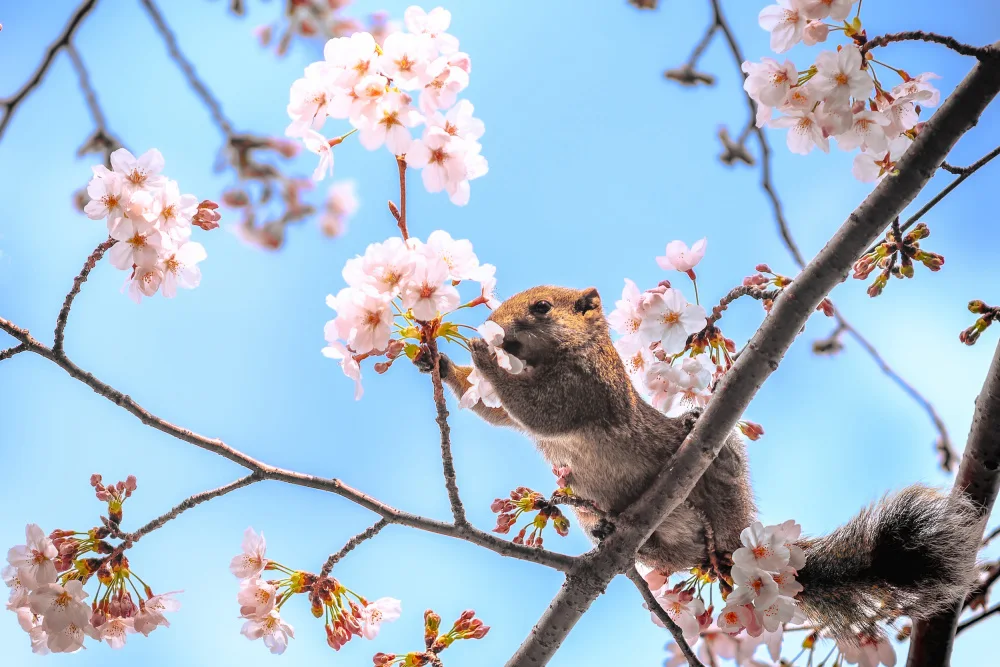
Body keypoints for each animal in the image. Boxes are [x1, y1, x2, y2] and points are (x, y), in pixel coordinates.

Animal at [418, 285, 983, 641]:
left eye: (540, 307)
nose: (493, 327)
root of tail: (738, 543)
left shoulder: (588, 389)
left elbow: (540, 411)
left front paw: (480, 353)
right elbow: (497, 414)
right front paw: (438, 360)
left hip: (722, 479)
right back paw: (611, 529)